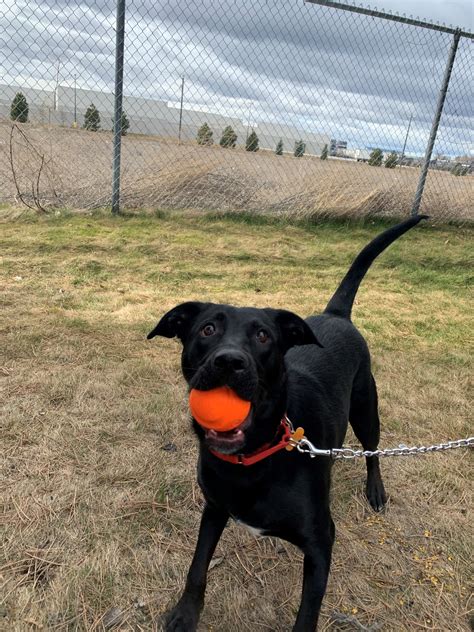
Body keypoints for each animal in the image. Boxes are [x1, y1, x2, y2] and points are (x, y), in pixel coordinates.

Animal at [147, 216, 426, 628]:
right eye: (207, 329)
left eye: (263, 335)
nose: (229, 362)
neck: (252, 459)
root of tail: (335, 315)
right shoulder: (213, 509)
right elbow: (197, 567)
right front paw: (185, 614)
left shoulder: (320, 542)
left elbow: (307, 614)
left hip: (366, 407)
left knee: (373, 450)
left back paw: (375, 490)